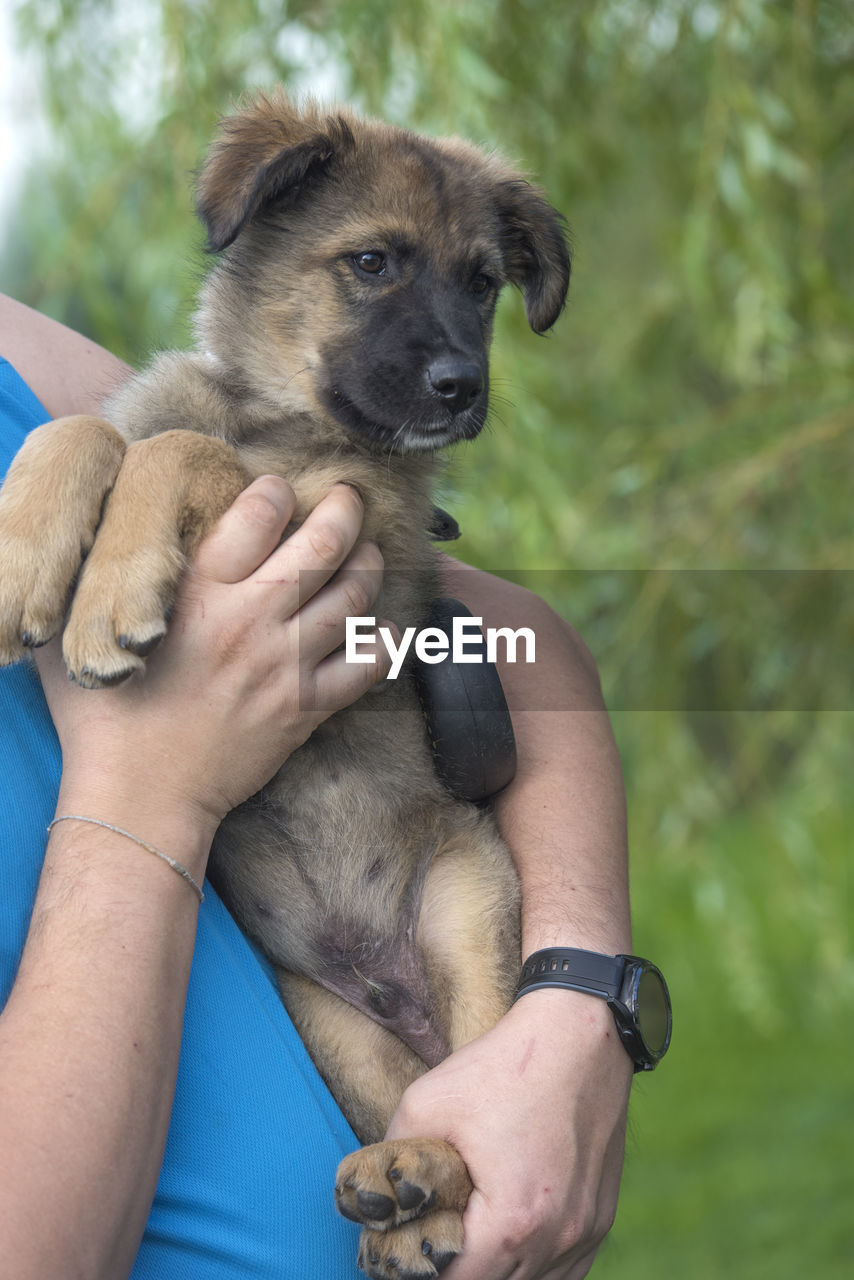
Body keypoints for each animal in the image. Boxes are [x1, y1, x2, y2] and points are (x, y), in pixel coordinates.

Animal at [1, 94, 573, 1274]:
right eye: (371, 261)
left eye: (483, 283)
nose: (462, 389)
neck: (270, 413)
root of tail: (399, 988)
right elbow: (92, 426)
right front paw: (25, 554)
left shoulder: (343, 518)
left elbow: (179, 455)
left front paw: (107, 595)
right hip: (327, 1015)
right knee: (407, 1093)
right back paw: (400, 1194)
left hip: (466, 910)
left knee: (476, 1087)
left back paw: (426, 1176)